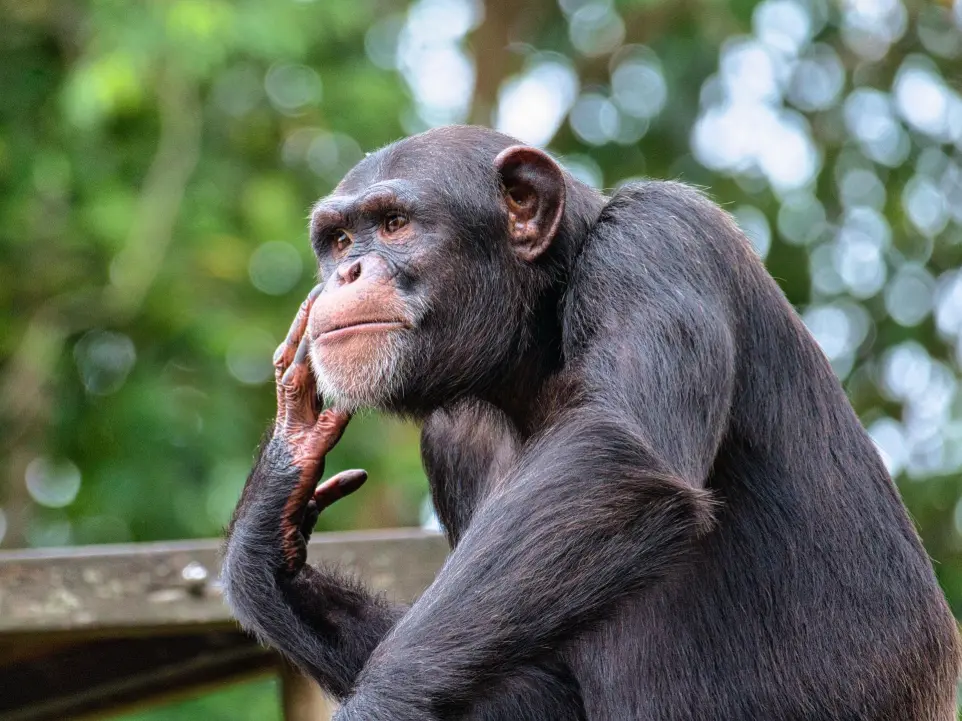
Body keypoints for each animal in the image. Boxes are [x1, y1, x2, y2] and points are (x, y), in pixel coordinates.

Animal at [222, 125, 961, 720]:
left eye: (396, 222)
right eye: (341, 237)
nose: (346, 270)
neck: (536, 341)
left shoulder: (657, 241)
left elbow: (615, 456)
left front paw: (381, 702)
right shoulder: (451, 441)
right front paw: (273, 521)